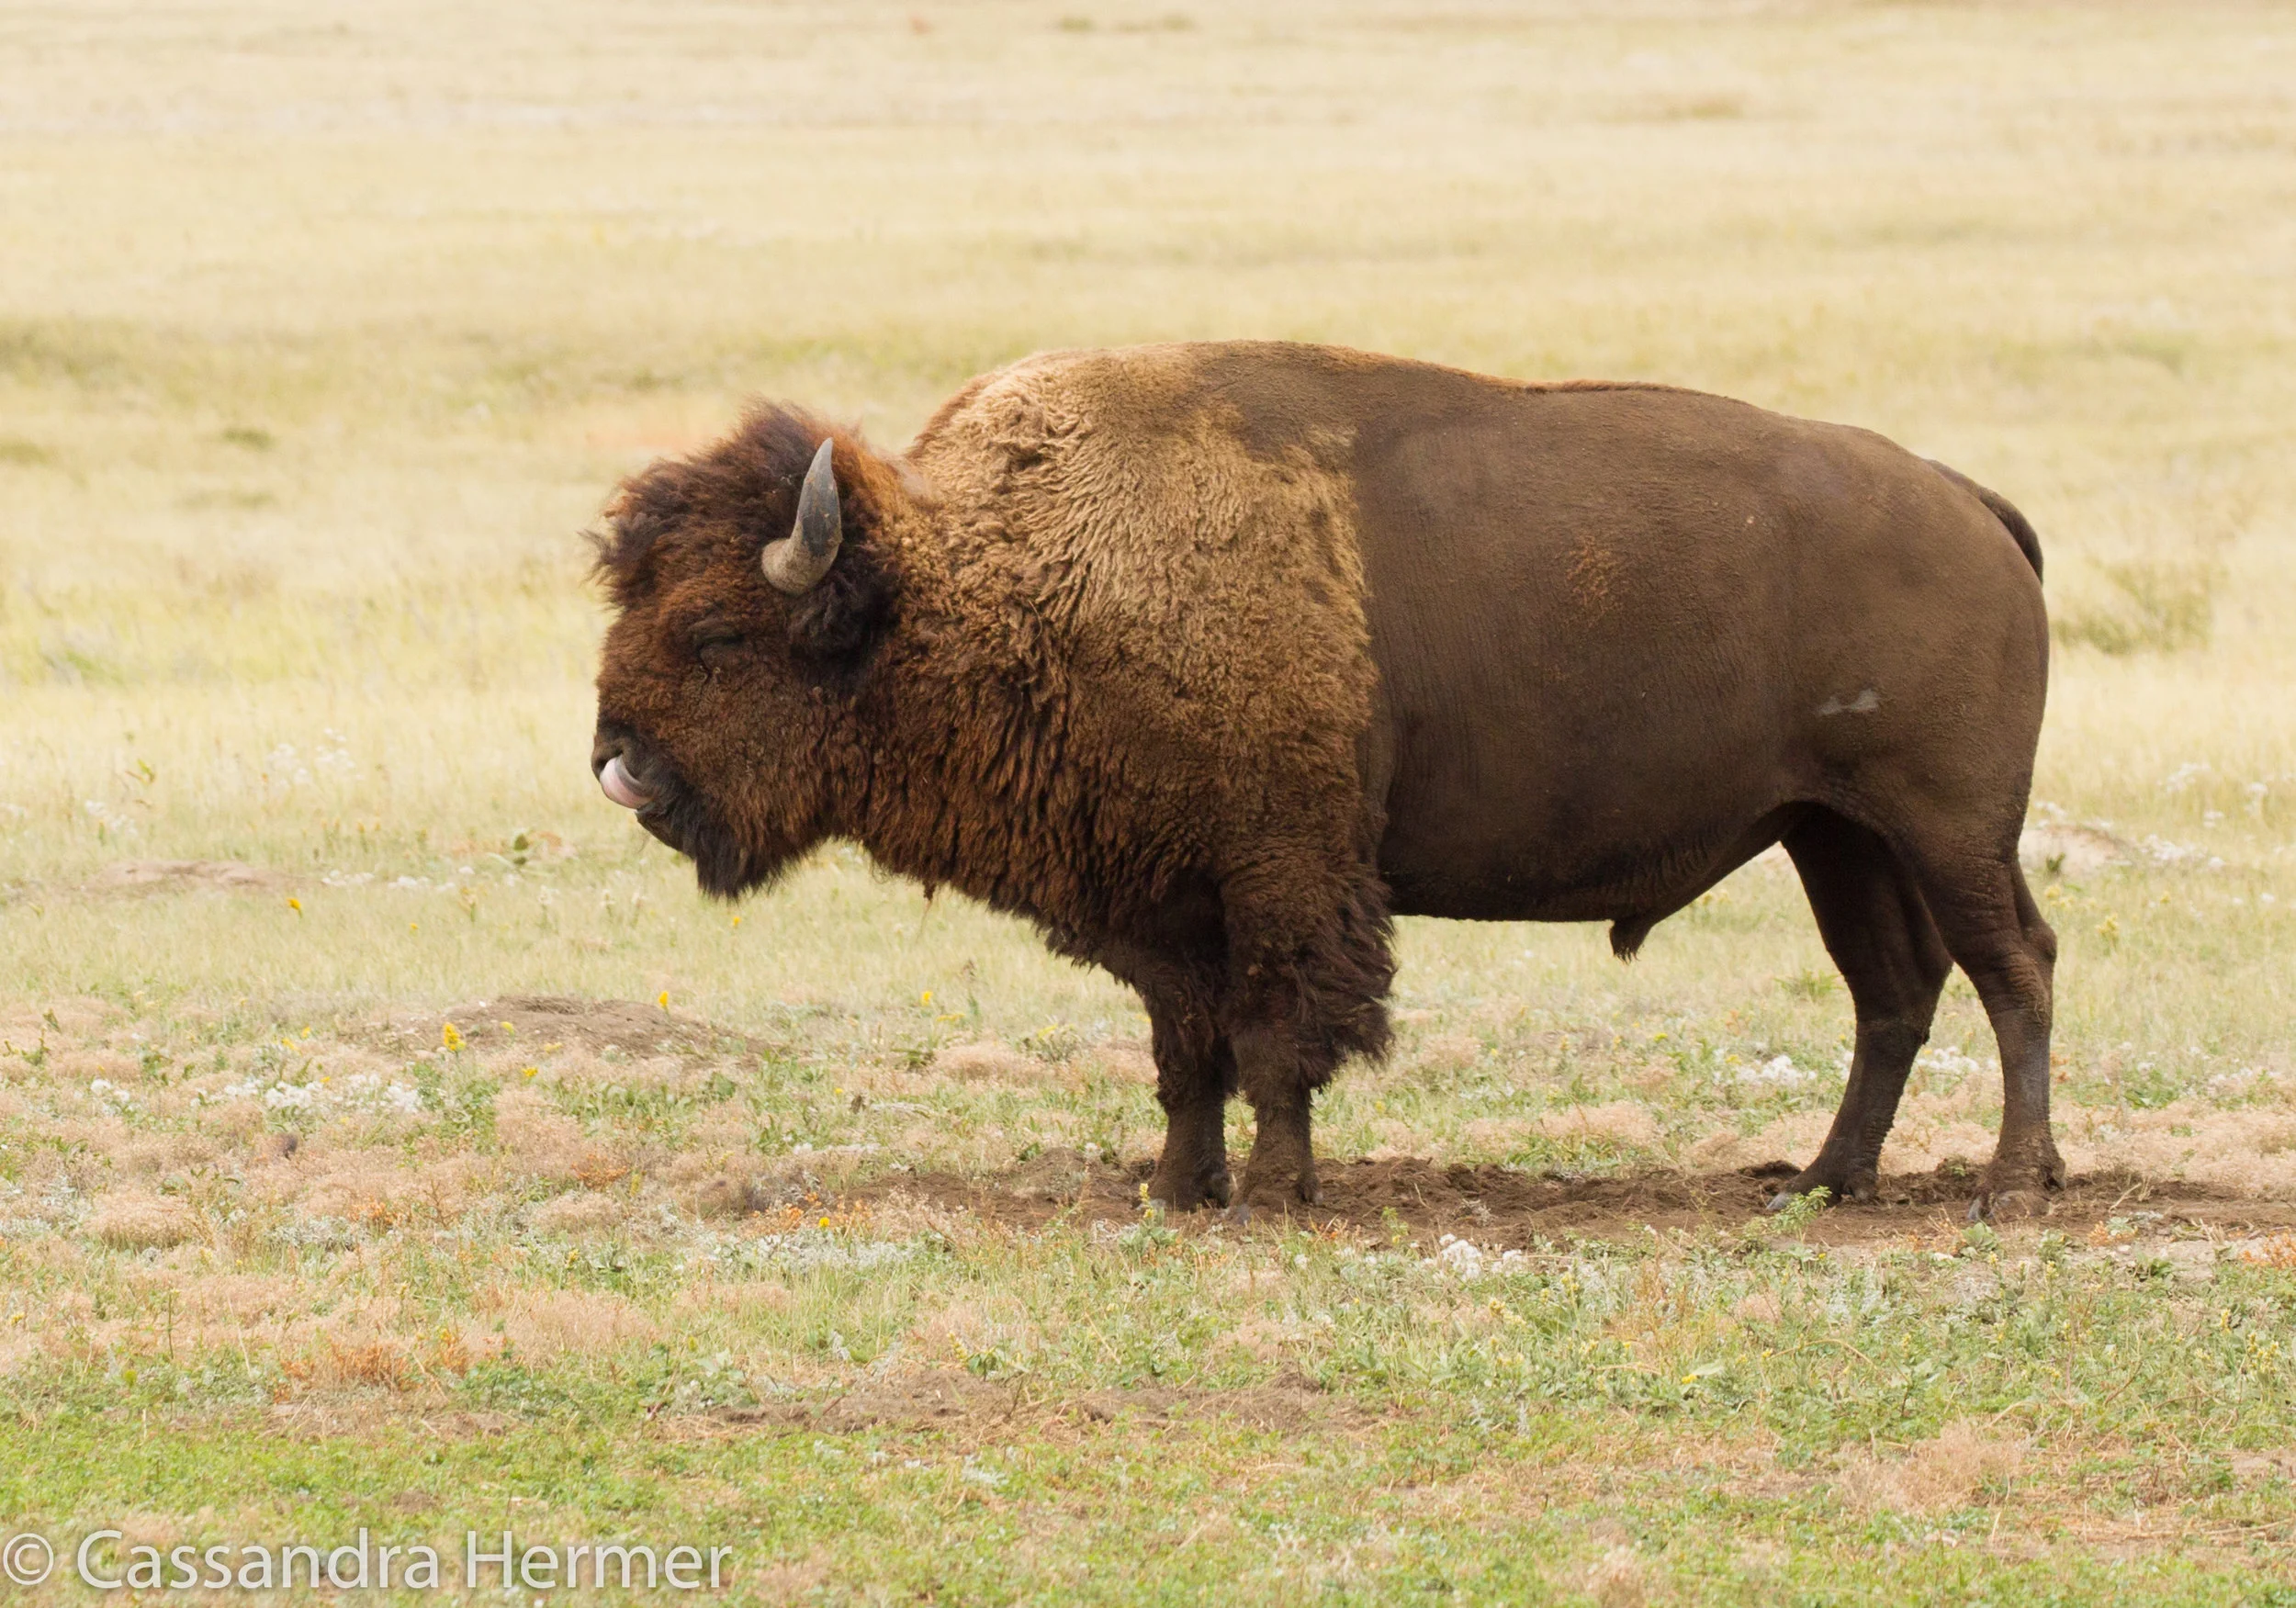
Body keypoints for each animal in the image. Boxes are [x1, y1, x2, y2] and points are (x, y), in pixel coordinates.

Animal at [590, 341, 2059, 1218]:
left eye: (718, 634)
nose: (620, 765)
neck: (992, 582)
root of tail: (1968, 502)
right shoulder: (1157, 900)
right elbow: (1185, 1052)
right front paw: (1175, 1187)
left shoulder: (1279, 876)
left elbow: (1274, 1037)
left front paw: (1278, 1192)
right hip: (1834, 835)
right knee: (1894, 990)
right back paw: (1824, 1180)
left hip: (1945, 828)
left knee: (2013, 969)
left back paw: (2011, 1184)